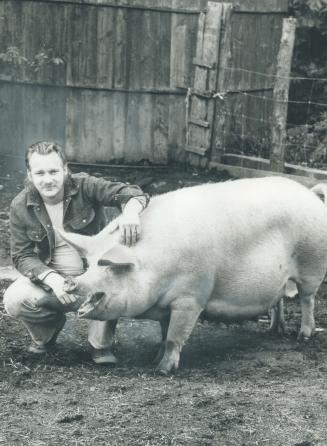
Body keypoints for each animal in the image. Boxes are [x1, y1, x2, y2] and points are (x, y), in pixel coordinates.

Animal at [60, 177, 327, 372]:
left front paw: (163, 370)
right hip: (280, 278)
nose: (71, 281)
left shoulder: (190, 298)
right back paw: (274, 331)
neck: (155, 266)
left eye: (109, 267)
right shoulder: (166, 305)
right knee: (278, 299)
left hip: (312, 265)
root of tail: (311, 194)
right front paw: (154, 359)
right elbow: (163, 334)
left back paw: (302, 336)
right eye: (89, 264)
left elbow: (173, 337)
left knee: (307, 300)